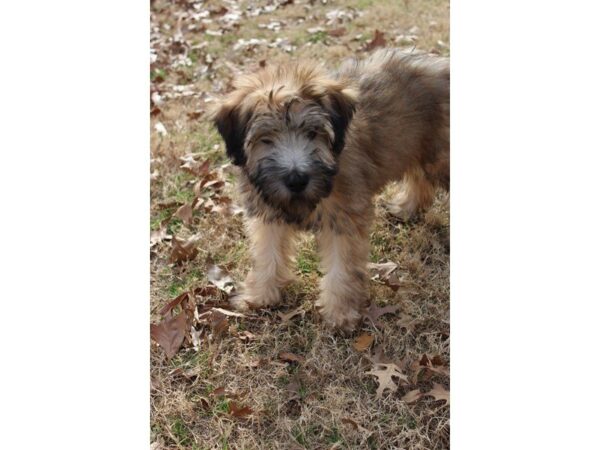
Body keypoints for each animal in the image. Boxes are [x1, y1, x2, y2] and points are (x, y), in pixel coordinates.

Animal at [212, 49, 450, 330]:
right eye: (266, 139)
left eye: (312, 132)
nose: (296, 180)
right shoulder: (269, 213)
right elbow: (267, 254)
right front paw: (259, 295)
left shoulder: (344, 219)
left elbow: (342, 267)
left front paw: (340, 312)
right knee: (420, 178)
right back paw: (407, 207)